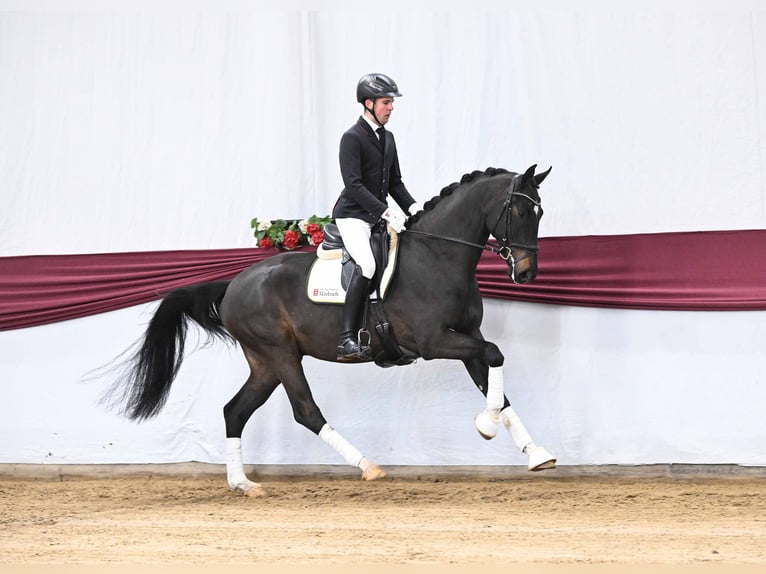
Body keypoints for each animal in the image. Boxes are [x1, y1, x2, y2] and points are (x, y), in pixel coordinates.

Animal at [104, 164, 555, 496]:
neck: (438, 255)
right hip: (281, 355)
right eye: (520, 212)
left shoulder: (468, 337)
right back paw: (367, 466)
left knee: (235, 410)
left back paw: (243, 484)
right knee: (305, 411)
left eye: (540, 212)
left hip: (265, 363)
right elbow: (496, 354)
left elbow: (495, 376)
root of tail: (234, 283)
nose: (527, 274)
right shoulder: (434, 341)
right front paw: (486, 425)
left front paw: (535, 452)